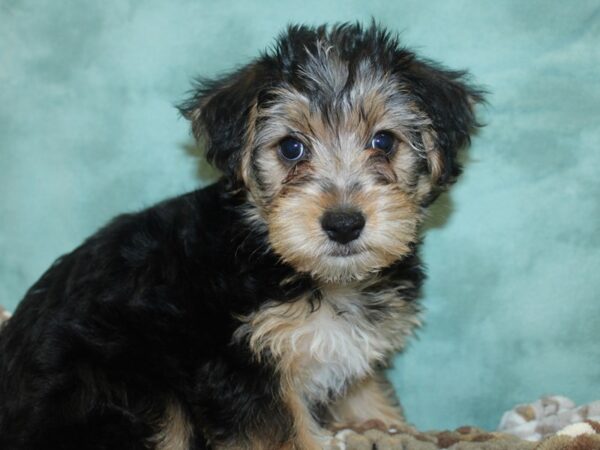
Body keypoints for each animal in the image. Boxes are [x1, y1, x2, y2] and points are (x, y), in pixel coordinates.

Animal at [0, 22, 482, 450]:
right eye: (291, 148)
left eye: (383, 142)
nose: (344, 223)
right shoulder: (240, 367)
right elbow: (285, 436)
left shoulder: (349, 351)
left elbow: (369, 396)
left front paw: (391, 425)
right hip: (122, 385)